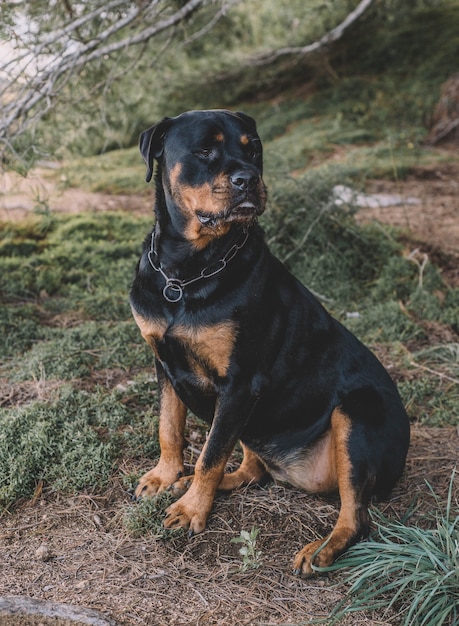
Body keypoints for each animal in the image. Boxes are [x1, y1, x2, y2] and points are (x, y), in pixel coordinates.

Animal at [131, 108, 412, 576]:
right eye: (204, 150)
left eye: (254, 150)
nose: (248, 178)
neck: (187, 272)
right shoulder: (165, 364)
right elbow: (169, 428)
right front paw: (166, 476)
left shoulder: (240, 383)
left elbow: (210, 454)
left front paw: (191, 510)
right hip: (256, 421)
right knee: (253, 469)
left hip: (355, 415)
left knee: (357, 516)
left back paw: (320, 549)